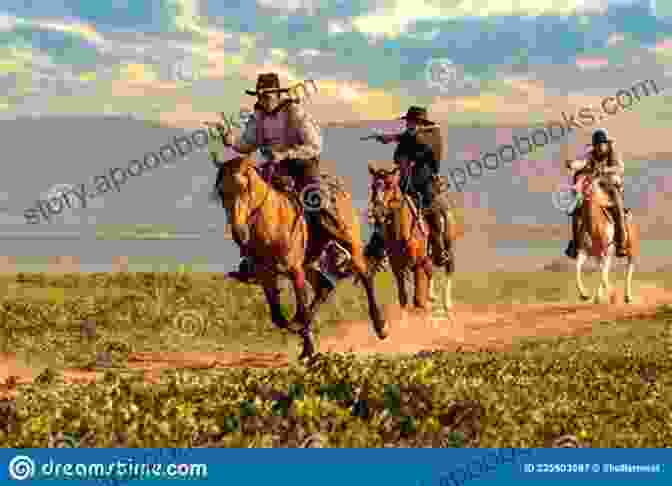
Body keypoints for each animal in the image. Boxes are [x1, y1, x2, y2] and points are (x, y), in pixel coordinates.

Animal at [210, 154, 388, 358]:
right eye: (221, 191)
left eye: (245, 187)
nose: (239, 233)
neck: (272, 223)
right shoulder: (266, 275)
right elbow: (278, 317)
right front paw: (301, 334)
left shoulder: (295, 271)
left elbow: (301, 307)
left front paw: (309, 347)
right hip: (309, 263)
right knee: (323, 286)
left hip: (350, 245)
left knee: (365, 275)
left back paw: (380, 326)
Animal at [572, 168, 640, 304]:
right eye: (577, 178)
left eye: (587, 180)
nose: (574, 190)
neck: (595, 226)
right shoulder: (585, 251)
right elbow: (578, 268)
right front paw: (584, 295)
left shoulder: (607, 250)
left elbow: (603, 273)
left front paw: (612, 296)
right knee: (604, 269)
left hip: (630, 249)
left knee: (629, 268)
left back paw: (627, 296)